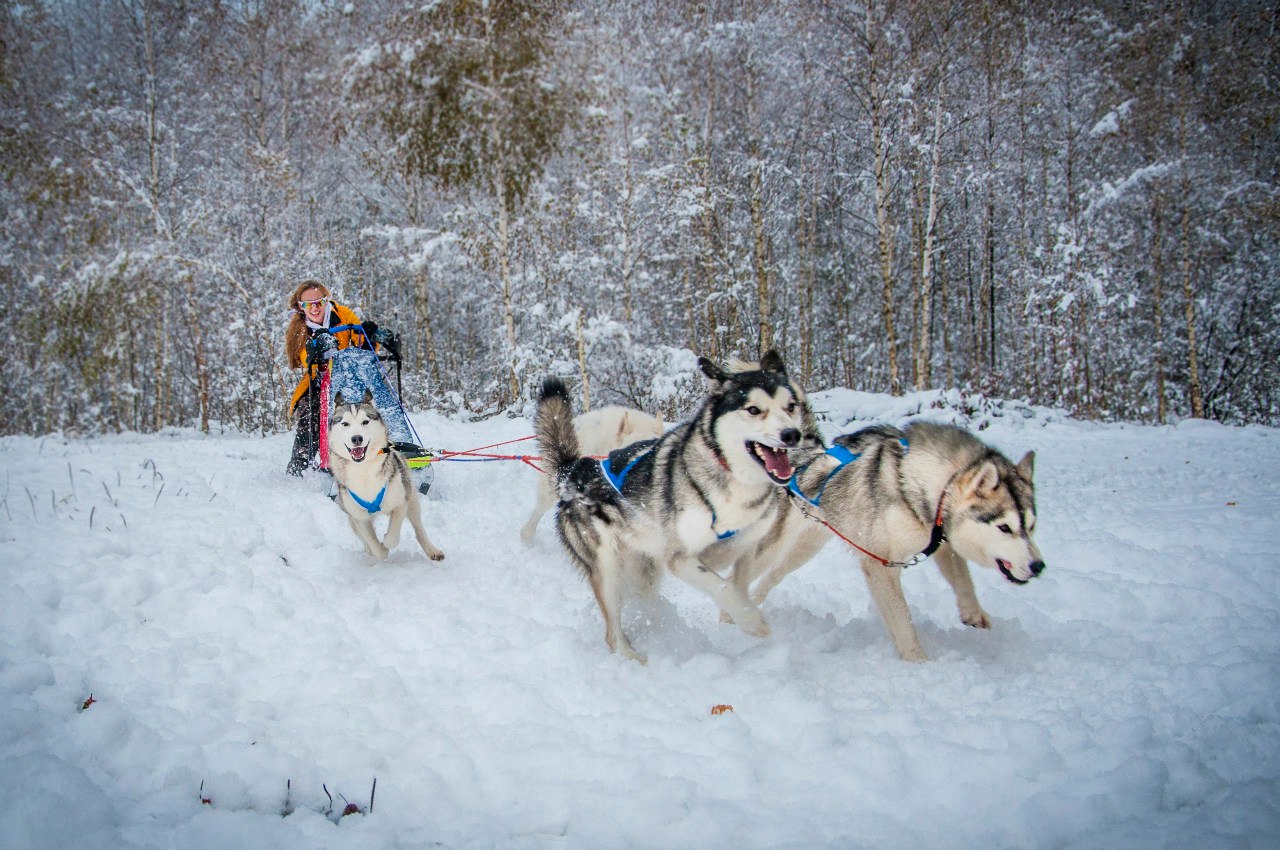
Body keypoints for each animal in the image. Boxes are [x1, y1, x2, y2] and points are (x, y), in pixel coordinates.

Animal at [327, 391, 448, 563]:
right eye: (345, 424)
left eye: (365, 421)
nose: (356, 438)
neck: (364, 472)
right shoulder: (359, 518)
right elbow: (375, 546)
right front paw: (379, 549)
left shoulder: (401, 502)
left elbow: (393, 536)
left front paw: (386, 541)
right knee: (364, 540)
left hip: (412, 500)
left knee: (419, 528)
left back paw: (432, 550)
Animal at [537, 350, 808, 665]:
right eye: (753, 409)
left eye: (791, 406)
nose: (792, 434)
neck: (733, 480)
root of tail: (574, 469)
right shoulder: (679, 558)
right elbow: (723, 585)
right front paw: (753, 622)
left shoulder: (747, 544)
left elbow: (738, 582)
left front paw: (734, 621)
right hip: (608, 568)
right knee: (612, 632)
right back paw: (634, 658)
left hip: (643, 569)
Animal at [737, 422, 1044, 660]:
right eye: (1004, 527)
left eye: (1031, 526)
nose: (1038, 566)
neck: (923, 482)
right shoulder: (880, 563)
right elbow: (903, 621)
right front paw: (918, 662)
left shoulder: (940, 541)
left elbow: (963, 579)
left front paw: (973, 613)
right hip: (775, 544)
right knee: (741, 573)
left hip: (804, 549)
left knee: (772, 576)